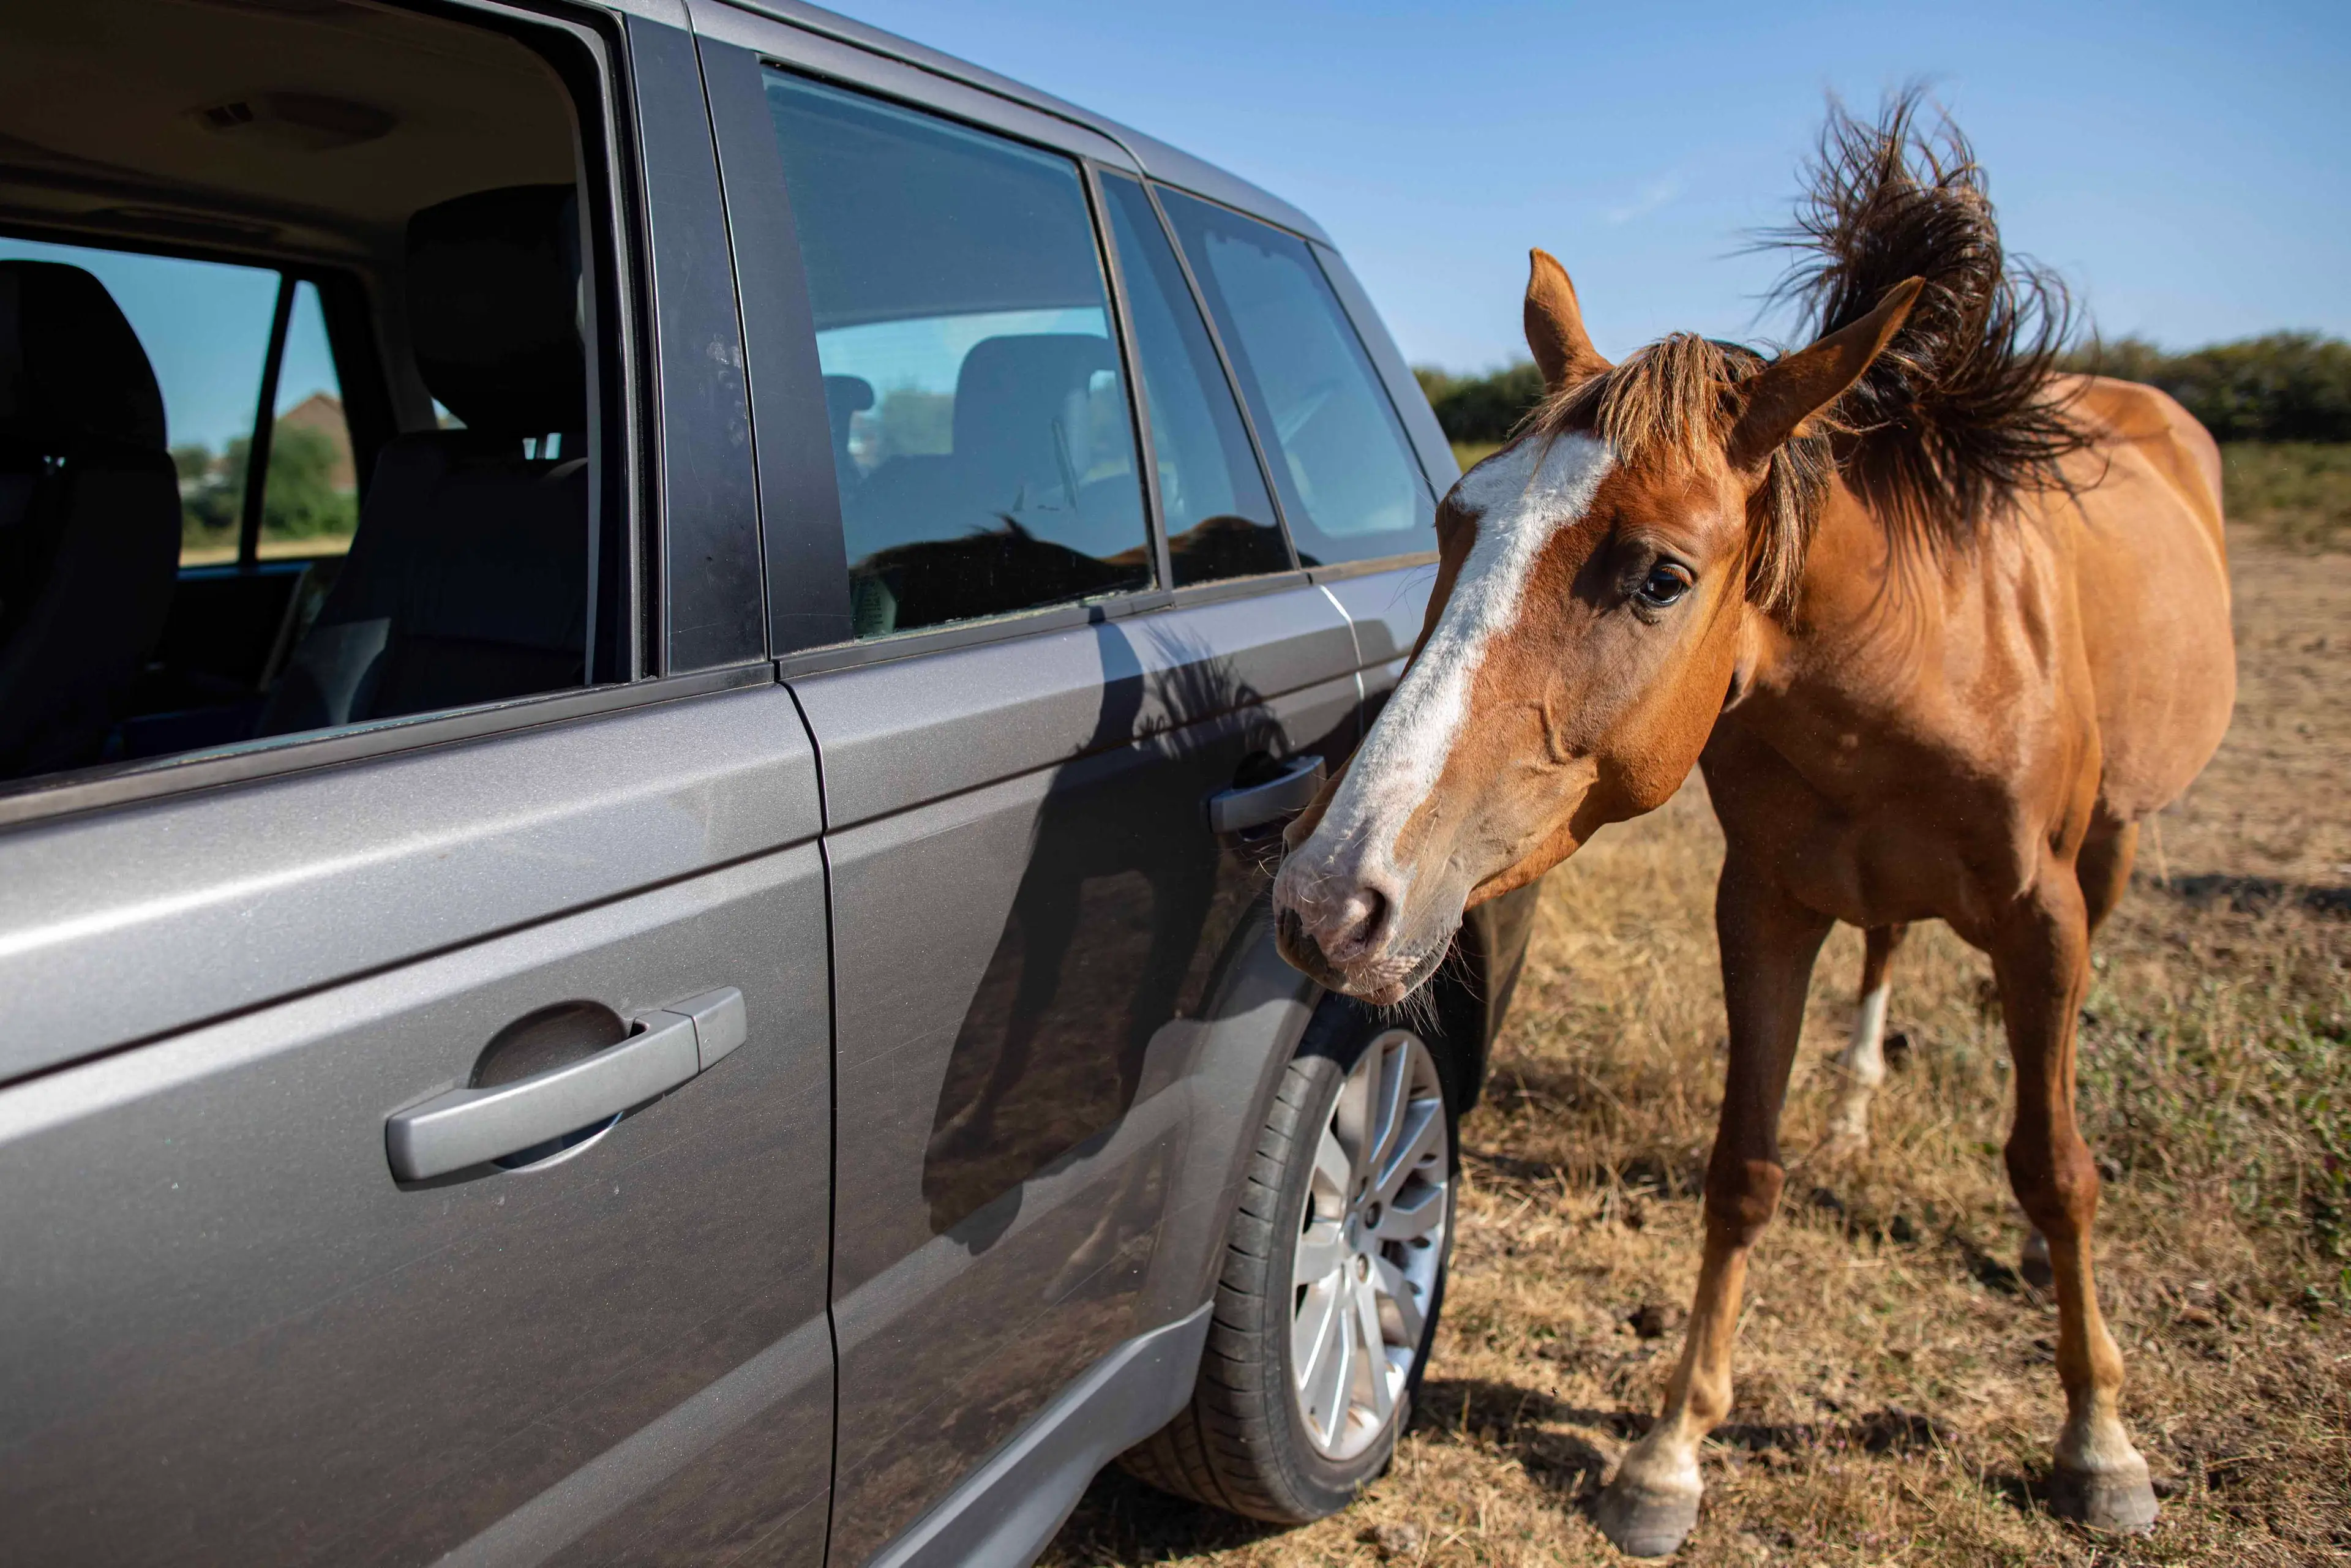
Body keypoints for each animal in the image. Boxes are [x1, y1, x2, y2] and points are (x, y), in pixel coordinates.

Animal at [1271, 98, 2233, 1556]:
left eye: (1661, 577)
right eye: (1456, 520)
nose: (1331, 895)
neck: (1909, 653)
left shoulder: (2041, 912)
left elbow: (2055, 1164)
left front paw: (2100, 1440)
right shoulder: (1766, 905)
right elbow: (1743, 1167)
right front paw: (1668, 1451)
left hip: (2110, 849)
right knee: (1886, 955)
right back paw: (1855, 1102)